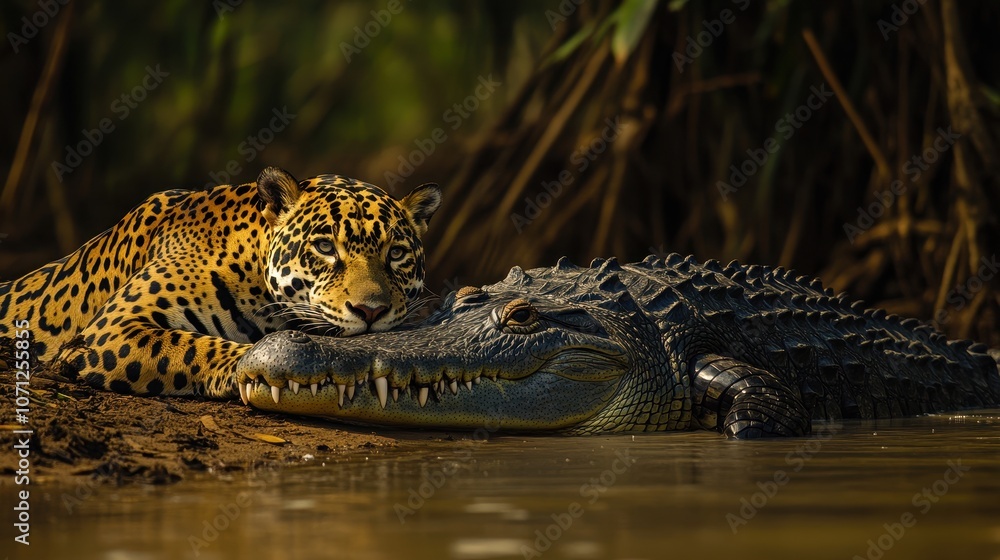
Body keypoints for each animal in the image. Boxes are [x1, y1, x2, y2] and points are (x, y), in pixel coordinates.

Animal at [0, 166, 441, 402]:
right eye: (324, 247)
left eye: (396, 253)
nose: (371, 311)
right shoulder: (113, 328)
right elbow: (192, 345)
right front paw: (254, 366)